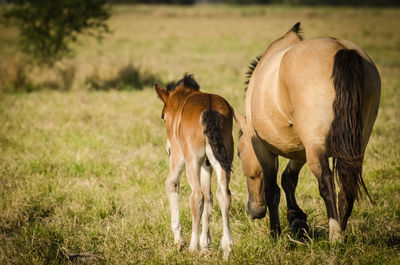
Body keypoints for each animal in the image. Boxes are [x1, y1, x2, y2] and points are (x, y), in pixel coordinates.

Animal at [154, 73, 233, 258]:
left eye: (163, 116)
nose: (168, 149)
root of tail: (210, 110)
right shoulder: (207, 165)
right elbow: (209, 197)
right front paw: (205, 245)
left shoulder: (179, 156)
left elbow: (171, 184)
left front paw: (180, 240)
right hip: (222, 161)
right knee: (223, 195)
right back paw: (227, 247)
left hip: (191, 161)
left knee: (196, 196)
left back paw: (192, 246)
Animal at [234, 22, 382, 239]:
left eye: (238, 153)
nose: (253, 211)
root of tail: (340, 49)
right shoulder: (300, 148)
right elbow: (288, 179)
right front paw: (297, 219)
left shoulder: (263, 148)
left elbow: (272, 190)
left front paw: (275, 232)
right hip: (355, 143)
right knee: (347, 184)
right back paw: (341, 228)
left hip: (316, 143)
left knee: (326, 182)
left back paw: (335, 235)